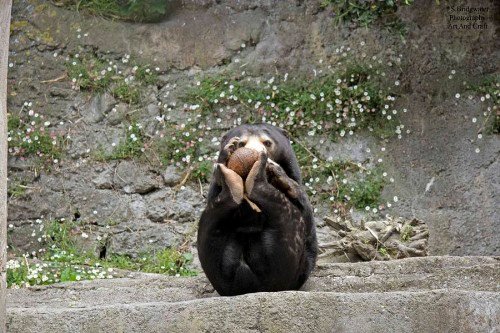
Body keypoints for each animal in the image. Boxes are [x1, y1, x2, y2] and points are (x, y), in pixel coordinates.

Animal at [195, 123, 316, 294]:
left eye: (267, 143)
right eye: (241, 143)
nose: (256, 153)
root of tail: (253, 284)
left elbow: (304, 205)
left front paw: (276, 171)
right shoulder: (213, 193)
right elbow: (213, 191)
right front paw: (227, 151)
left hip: (292, 264)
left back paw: (256, 177)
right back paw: (234, 181)